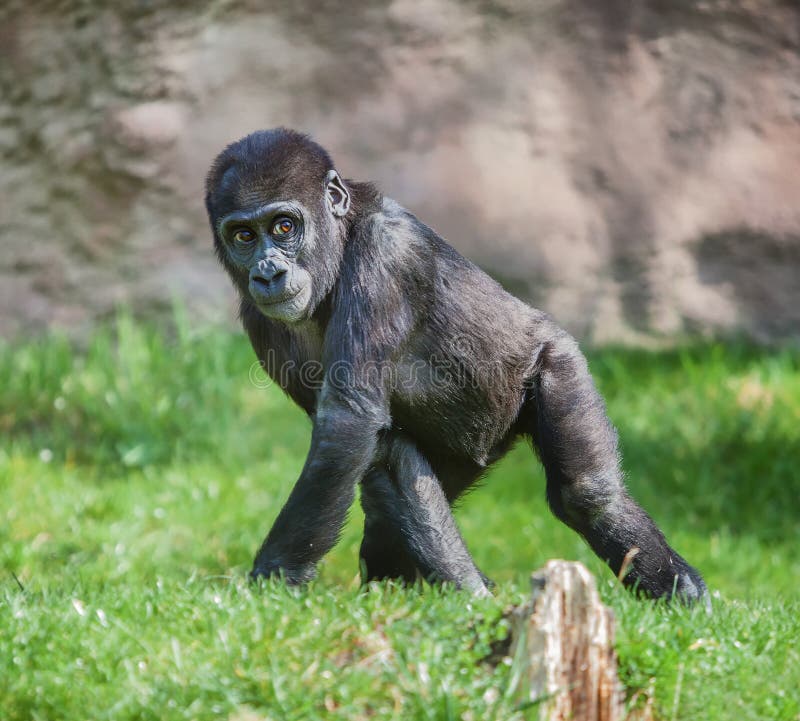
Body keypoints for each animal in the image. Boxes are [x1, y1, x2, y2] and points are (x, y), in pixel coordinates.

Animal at [205, 127, 708, 603]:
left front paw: (275, 576)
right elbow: (371, 447)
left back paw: (683, 593)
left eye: (284, 227)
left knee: (587, 495)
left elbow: (347, 421)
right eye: (244, 236)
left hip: (556, 360)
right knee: (395, 502)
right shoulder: (259, 322)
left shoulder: (385, 255)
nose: (268, 272)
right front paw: (471, 592)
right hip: (461, 452)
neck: (340, 240)